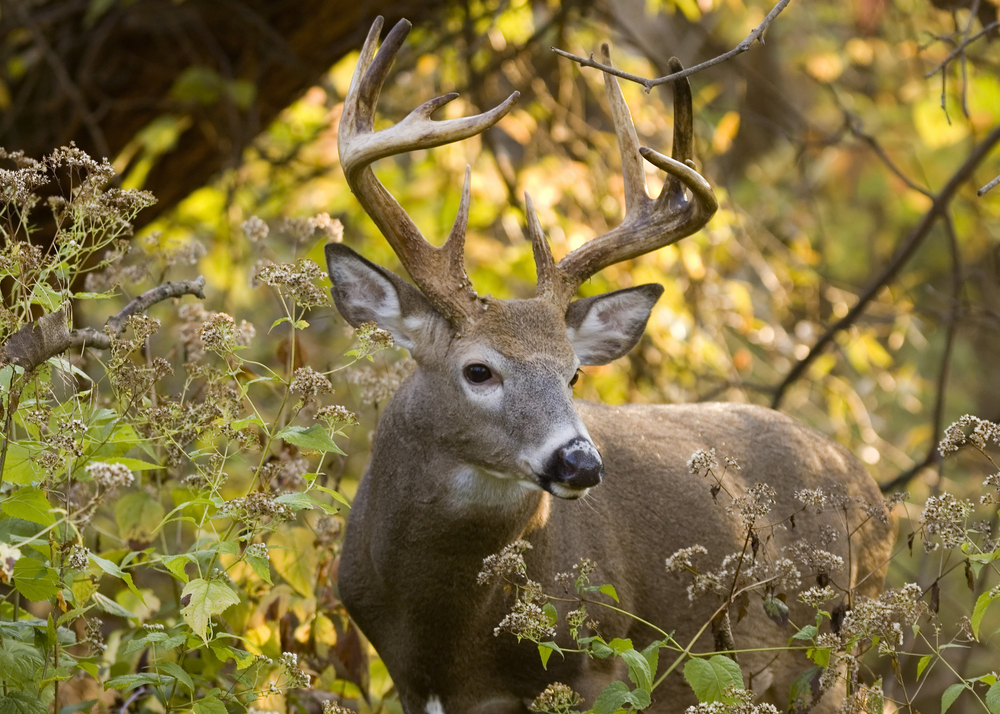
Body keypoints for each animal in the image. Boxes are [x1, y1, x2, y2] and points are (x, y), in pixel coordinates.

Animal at [328, 16, 900, 712]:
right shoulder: (406, 677)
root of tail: (868, 485)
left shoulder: (602, 659)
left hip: (838, 650)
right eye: (478, 370)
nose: (580, 462)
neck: (444, 634)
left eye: (573, 372)